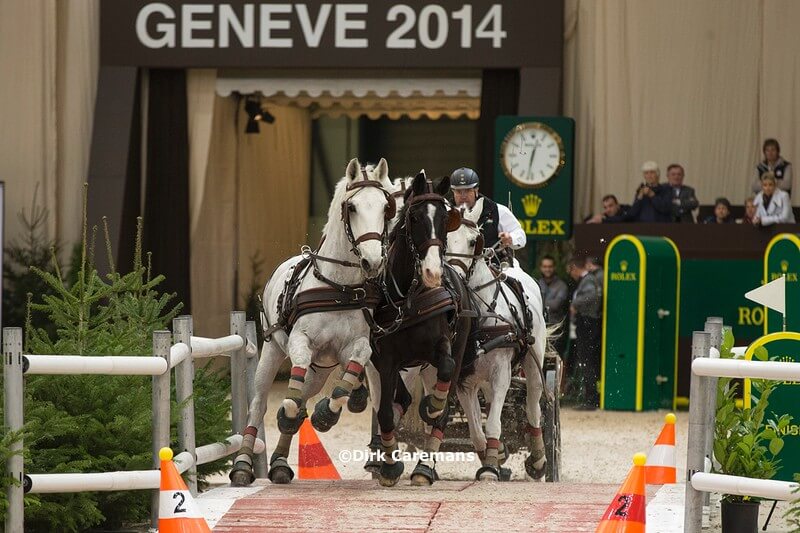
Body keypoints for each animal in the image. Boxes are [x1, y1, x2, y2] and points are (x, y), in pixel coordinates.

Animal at [230, 158, 395, 486]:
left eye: (386, 207)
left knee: (304, 393)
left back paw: (281, 463)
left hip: (321, 371)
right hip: (272, 352)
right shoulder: (299, 342)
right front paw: (290, 416)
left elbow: (344, 383)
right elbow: (291, 397)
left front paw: (325, 414)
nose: (372, 261)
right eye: (352, 207)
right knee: (260, 404)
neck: (339, 287)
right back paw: (243, 464)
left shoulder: (356, 346)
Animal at [367, 171, 473, 487]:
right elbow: (386, 413)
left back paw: (425, 467)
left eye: (444, 218)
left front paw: (433, 403)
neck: (408, 297)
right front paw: (389, 467)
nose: (433, 272)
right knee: (400, 400)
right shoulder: (386, 358)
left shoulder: (442, 346)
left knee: (442, 410)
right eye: (414, 217)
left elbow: (446, 372)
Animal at [444, 208, 552, 481]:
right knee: (492, 402)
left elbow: (493, 423)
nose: (455, 275)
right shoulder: (463, 380)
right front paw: (493, 456)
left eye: (474, 240)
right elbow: (476, 431)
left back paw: (538, 461)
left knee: (533, 408)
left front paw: (491, 468)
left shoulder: (502, 373)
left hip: (533, 363)